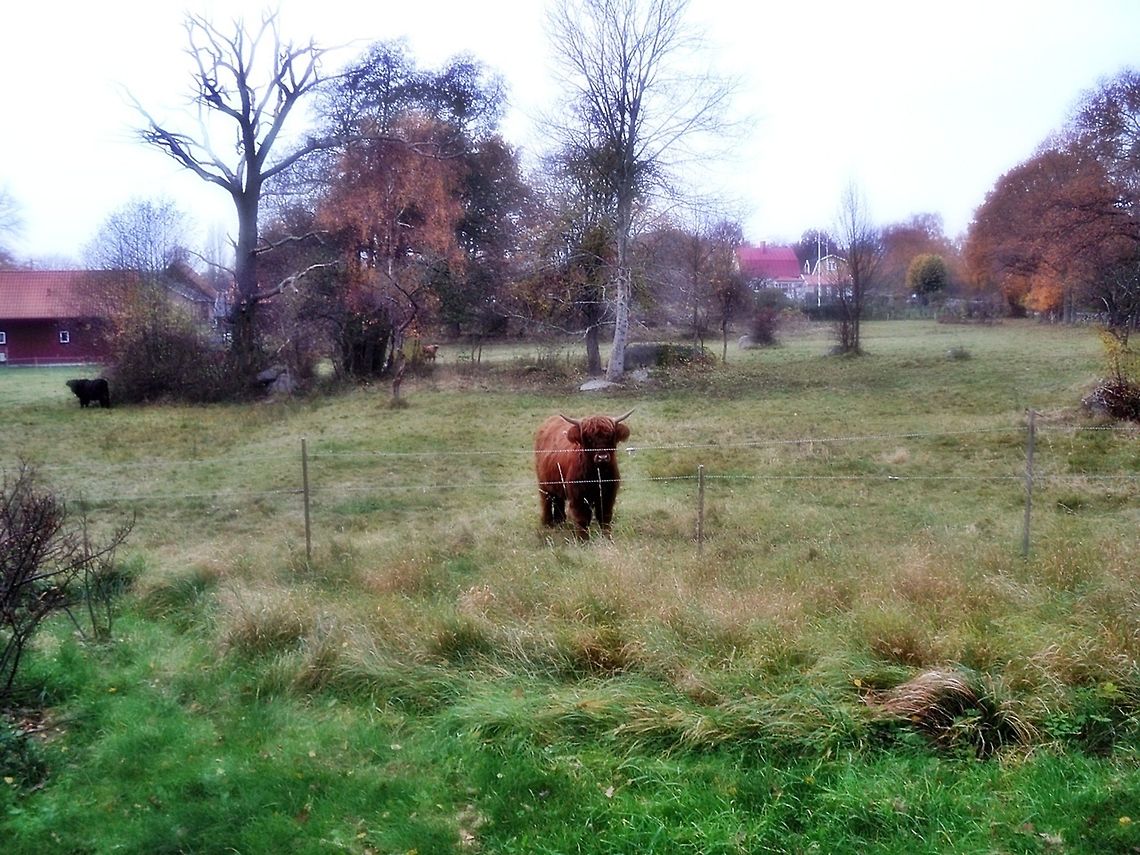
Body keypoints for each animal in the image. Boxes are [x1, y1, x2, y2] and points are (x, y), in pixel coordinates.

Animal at [534, 410, 633, 540]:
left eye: (610, 436)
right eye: (588, 438)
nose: (602, 457)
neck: (597, 475)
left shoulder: (608, 494)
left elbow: (605, 516)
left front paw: (607, 537)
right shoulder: (578, 497)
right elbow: (582, 518)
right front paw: (583, 539)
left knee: (558, 500)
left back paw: (560, 522)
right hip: (544, 484)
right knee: (546, 500)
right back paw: (548, 524)